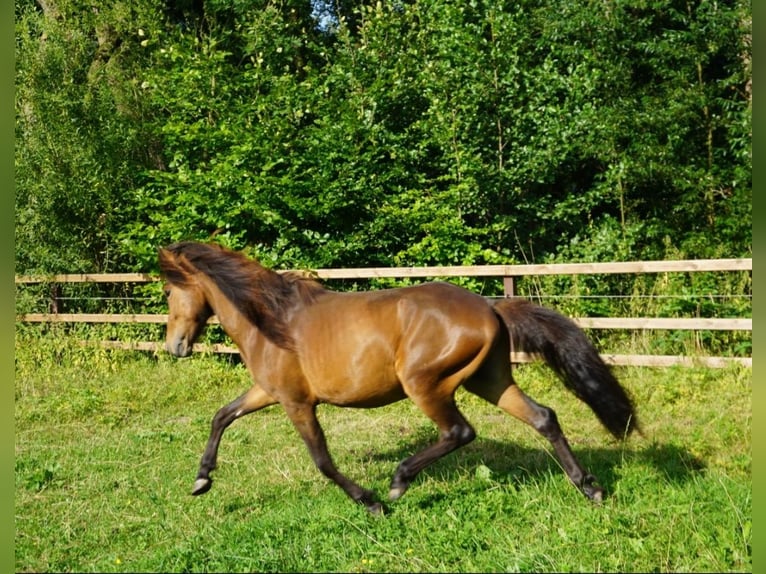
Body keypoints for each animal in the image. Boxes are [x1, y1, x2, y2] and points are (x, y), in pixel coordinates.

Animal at [158, 241, 638, 514]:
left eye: (166, 290)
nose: (174, 346)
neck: (271, 320)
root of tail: (489, 307)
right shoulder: (268, 391)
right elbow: (222, 416)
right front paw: (202, 480)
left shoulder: (297, 403)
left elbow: (322, 460)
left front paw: (369, 502)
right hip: (490, 380)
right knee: (543, 418)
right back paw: (590, 488)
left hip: (425, 384)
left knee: (459, 431)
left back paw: (398, 483)